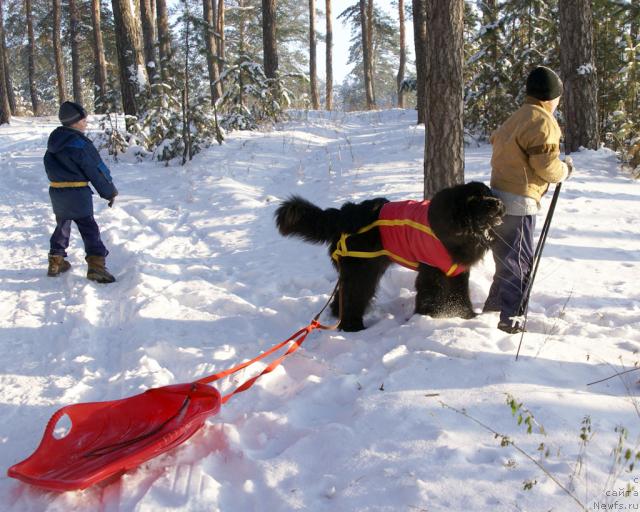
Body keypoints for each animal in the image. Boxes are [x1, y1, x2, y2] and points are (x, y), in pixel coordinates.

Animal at [276, 182, 504, 330]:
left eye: (490, 194)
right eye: (475, 198)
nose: (498, 203)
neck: (462, 227)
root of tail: (345, 214)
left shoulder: (457, 270)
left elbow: (460, 294)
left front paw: (467, 316)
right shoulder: (431, 271)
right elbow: (430, 294)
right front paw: (430, 316)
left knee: (344, 293)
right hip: (363, 269)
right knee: (354, 295)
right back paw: (353, 326)